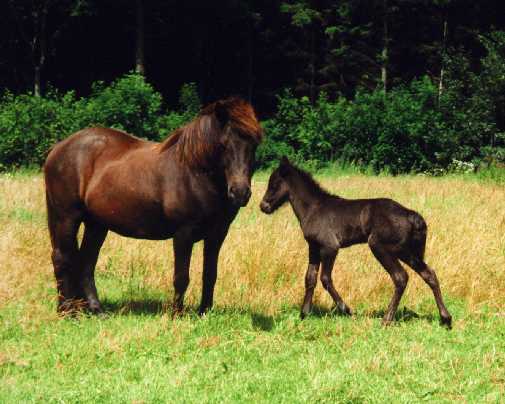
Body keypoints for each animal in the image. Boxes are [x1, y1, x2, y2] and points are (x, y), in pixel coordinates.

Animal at [258, 156, 450, 326]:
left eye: (274, 184)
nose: (263, 206)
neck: (313, 208)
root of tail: (411, 215)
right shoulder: (313, 247)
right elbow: (310, 278)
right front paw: (304, 313)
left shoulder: (330, 247)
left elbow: (325, 278)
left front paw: (347, 310)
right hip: (405, 251)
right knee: (429, 274)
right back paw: (446, 319)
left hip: (381, 247)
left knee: (400, 277)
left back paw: (386, 319)